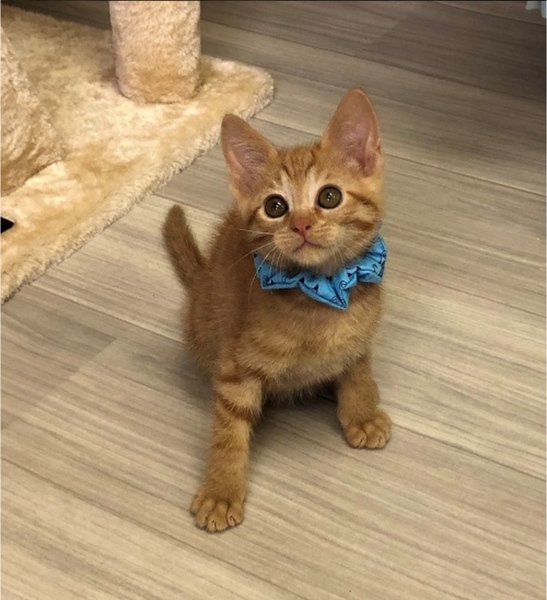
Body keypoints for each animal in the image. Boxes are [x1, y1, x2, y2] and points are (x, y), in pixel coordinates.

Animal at [163, 88, 391, 533]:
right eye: (275, 206)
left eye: (329, 197)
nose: (300, 224)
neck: (318, 294)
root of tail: (199, 282)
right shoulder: (237, 369)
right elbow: (229, 430)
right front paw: (221, 489)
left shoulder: (359, 337)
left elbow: (358, 371)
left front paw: (361, 411)